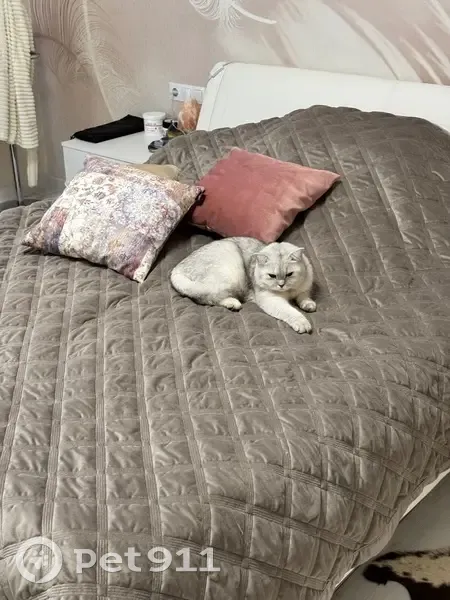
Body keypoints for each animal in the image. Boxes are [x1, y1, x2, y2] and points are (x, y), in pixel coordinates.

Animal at [170, 236, 316, 334]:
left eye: (289, 274)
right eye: (272, 276)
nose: (281, 285)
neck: (289, 292)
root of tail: (176, 269)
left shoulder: (304, 289)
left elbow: (304, 297)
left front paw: (308, 304)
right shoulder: (271, 299)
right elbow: (290, 311)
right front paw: (302, 322)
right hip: (230, 271)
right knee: (206, 298)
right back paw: (233, 303)